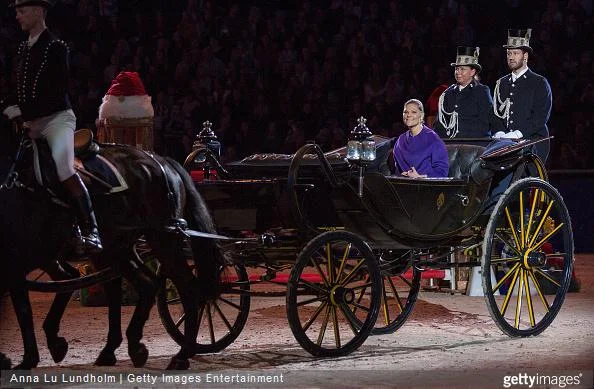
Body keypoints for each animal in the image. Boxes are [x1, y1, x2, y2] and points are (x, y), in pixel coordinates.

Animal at [0, 121, 222, 370]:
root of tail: (159, 160)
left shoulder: (16, 262)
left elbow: (22, 310)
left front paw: (28, 358)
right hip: (115, 248)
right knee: (141, 285)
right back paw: (124, 348)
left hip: (163, 240)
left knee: (187, 289)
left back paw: (182, 355)